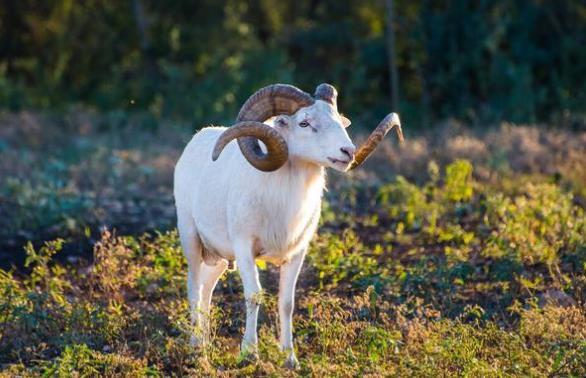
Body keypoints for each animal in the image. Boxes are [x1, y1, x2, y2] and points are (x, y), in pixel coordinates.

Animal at [173, 83, 402, 370]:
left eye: (339, 121)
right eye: (304, 123)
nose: (347, 152)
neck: (283, 202)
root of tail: (194, 142)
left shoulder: (295, 254)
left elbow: (286, 303)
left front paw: (290, 359)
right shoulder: (245, 248)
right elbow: (254, 295)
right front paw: (249, 354)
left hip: (220, 259)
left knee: (206, 289)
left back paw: (206, 344)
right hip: (192, 241)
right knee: (194, 289)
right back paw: (197, 350)